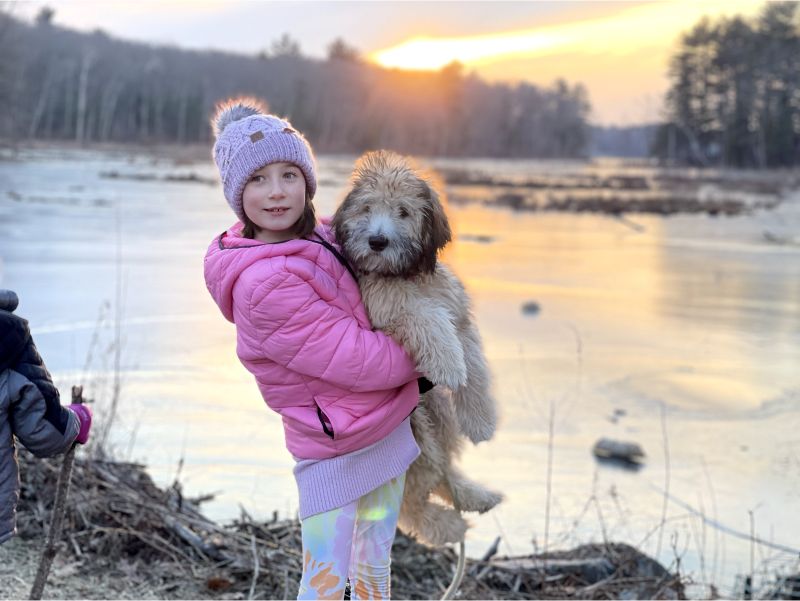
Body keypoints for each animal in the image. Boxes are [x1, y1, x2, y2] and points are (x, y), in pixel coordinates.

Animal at [332, 150, 500, 544]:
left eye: (404, 212)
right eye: (366, 208)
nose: (377, 241)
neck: (405, 275)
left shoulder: (460, 317)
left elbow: (475, 367)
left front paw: (481, 422)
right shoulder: (388, 311)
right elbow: (424, 316)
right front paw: (448, 363)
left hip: (437, 418)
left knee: (443, 473)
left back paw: (476, 496)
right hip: (417, 442)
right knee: (414, 502)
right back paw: (452, 525)